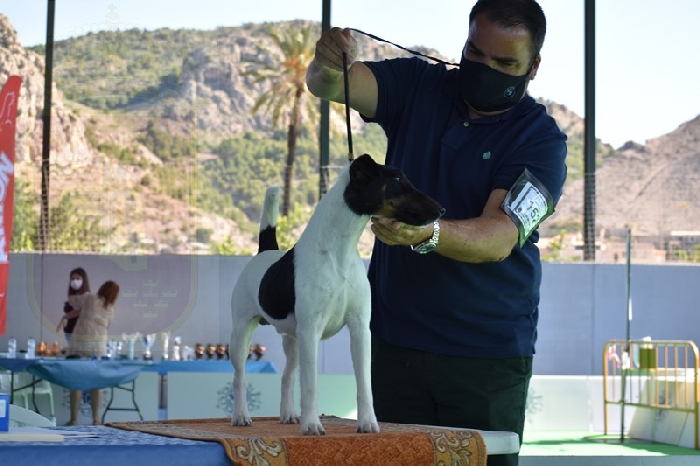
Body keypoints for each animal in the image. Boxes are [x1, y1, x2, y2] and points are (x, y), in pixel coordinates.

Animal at [229, 153, 444, 435]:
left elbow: (364, 383)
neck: (338, 251)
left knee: (287, 376)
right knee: (239, 377)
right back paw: (241, 416)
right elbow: (311, 385)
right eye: (398, 179)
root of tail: (264, 253)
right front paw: (312, 425)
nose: (441, 210)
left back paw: (288, 415)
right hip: (243, 333)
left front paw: (367, 423)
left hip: (293, 340)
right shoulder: (311, 330)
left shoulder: (360, 328)